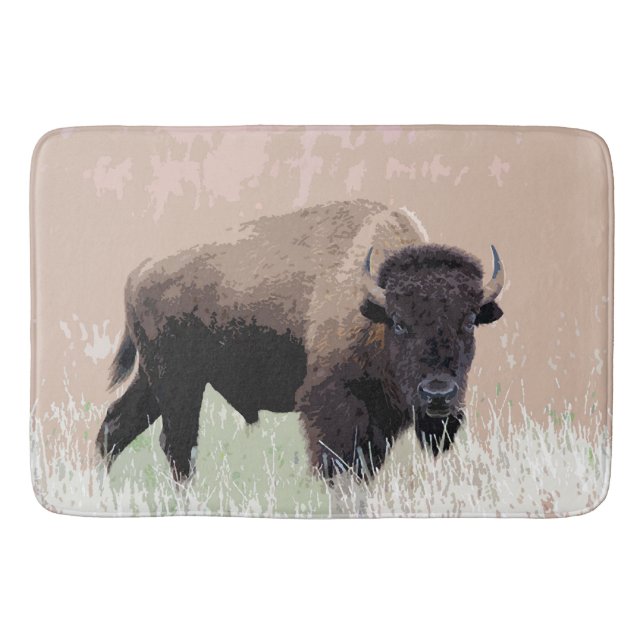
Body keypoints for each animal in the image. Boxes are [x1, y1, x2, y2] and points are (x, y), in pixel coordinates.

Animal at [97, 200, 504, 481]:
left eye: (470, 321)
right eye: (400, 323)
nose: (438, 394)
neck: (371, 301)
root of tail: (141, 270)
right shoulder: (333, 406)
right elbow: (337, 465)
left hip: (156, 380)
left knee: (115, 428)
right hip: (178, 382)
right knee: (177, 445)